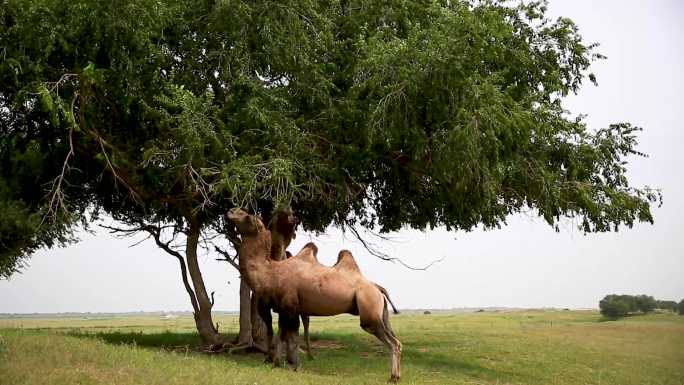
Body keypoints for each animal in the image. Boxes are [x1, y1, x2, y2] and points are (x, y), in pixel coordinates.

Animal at [227, 208, 404, 382]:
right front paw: (282, 364)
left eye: (248, 216)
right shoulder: (288, 309)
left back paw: (393, 377)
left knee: (393, 342)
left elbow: (289, 337)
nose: (230, 211)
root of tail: (378, 288)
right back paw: (395, 376)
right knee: (396, 340)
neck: (270, 273)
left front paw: (291, 365)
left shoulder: (289, 306)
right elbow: (287, 335)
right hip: (381, 312)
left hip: (369, 309)